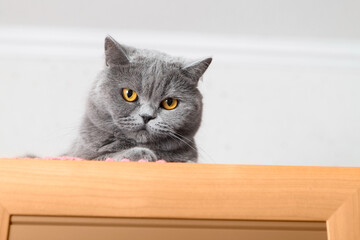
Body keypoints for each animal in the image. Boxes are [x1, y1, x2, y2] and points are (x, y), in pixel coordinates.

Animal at [67, 36, 211, 163]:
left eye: (170, 103)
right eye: (129, 94)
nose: (146, 116)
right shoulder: (77, 155)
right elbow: (104, 156)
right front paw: (141, 153)